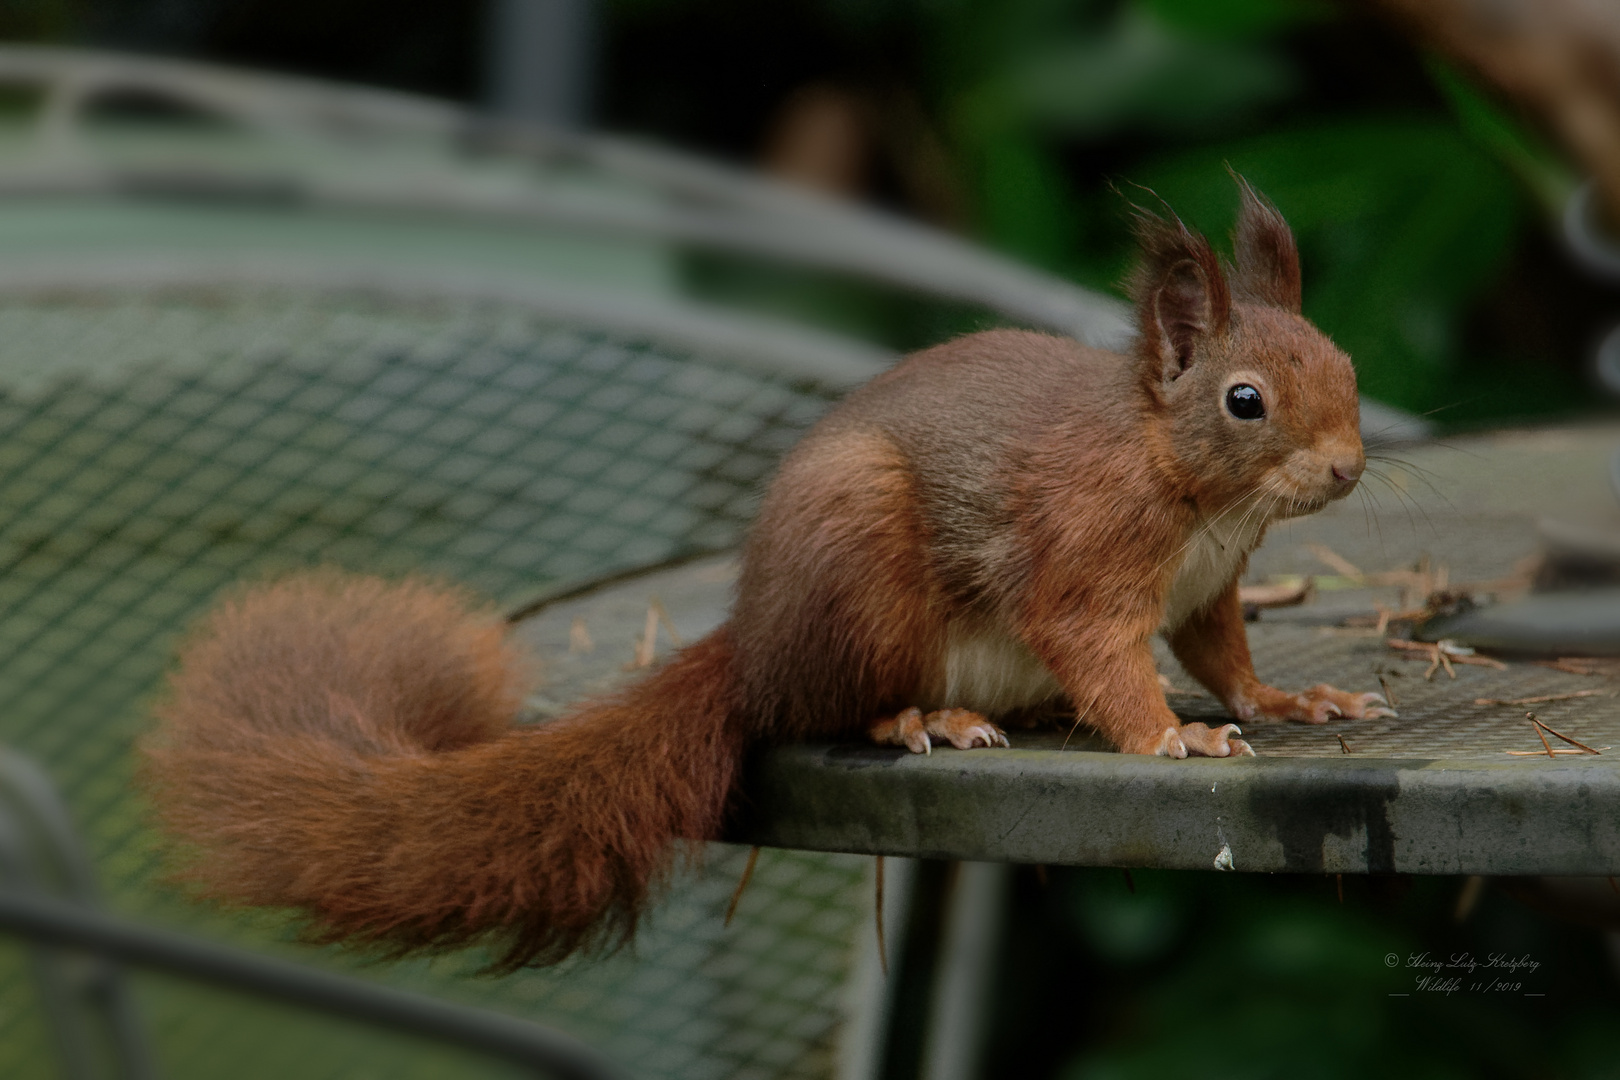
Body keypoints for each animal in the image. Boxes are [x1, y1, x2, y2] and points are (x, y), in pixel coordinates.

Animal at [145, 179, 1393, 971]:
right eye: (1245, 401)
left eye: (1345, 362)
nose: (1347, 465)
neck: (1198, 494)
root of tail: (751, 640)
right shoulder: (1088, 555)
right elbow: (1099, 649)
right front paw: (1171, 737)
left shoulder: (1209, 587)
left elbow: (1225, 657)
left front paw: (1293, 699)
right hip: (861, 568)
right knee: (824, 707)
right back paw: (923, 719)